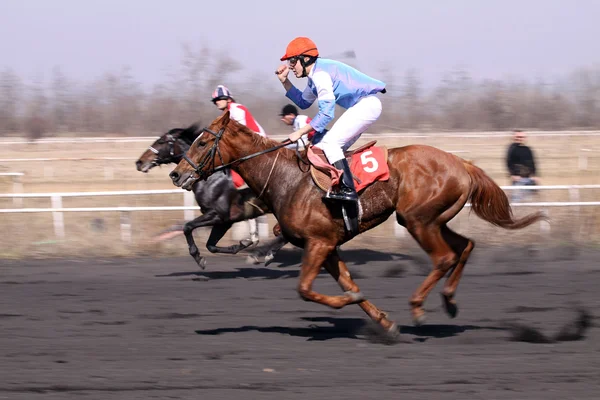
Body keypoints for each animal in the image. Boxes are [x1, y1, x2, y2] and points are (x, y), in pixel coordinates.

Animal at [168, 111, 544, 336]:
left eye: (203, 141)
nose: (176, 173)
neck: (287, 179)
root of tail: (461, 162)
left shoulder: (319, 244)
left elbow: (306, 290)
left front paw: (349, 303)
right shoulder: (326, 246)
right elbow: (347, 284)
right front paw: (384, 322)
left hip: (418, 220)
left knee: (444, 257)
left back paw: (419, 307)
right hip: (432, 218)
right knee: (465, 246)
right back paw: (449, 301)